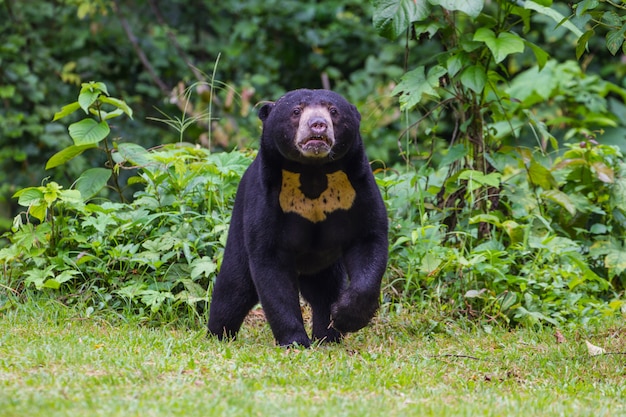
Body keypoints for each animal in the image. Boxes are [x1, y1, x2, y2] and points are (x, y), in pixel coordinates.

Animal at [207, 89, 388, 346]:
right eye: (296, 111)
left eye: (333, 111)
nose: (318, 125)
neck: (313, 171)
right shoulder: (267, 197)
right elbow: (270, 264)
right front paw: (294, 341)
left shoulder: (358, 188)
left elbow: (369, 240)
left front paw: (345, 317)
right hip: (238, 225)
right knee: (233, 288)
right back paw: (218, 334)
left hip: (324, 264)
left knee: (324, 291)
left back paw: (328, 336)